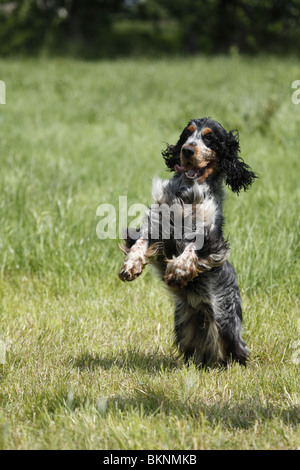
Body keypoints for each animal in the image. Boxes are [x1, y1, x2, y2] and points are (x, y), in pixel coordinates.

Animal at [118, 117, 256, 368]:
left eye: (210, 138)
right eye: (187, 134)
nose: (187, 150)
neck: (188, 193)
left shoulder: (210, 238)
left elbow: (192, 250)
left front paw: (177, 272)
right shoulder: (158, 224)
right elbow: (140, 242)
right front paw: (131, 266)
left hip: (226, 323)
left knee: (235, 351)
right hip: (183, 324)